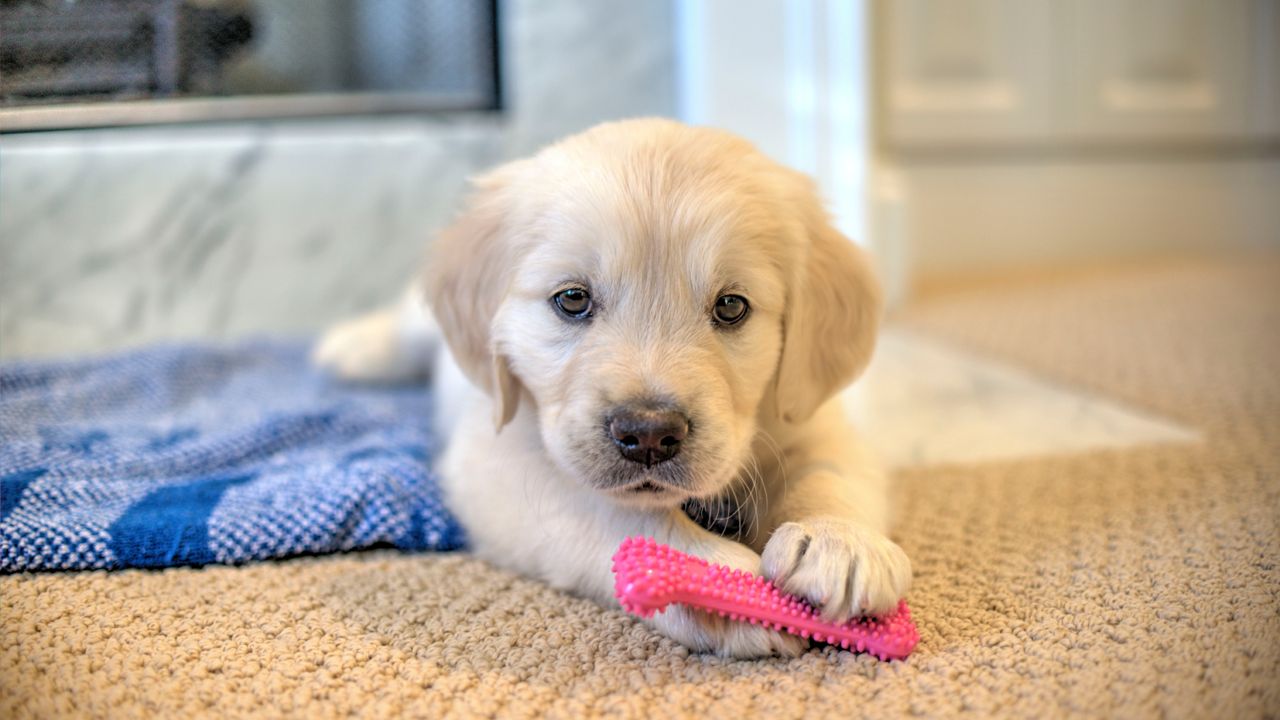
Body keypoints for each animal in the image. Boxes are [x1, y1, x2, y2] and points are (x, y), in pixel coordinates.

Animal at [316, 119, 916, 655]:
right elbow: (619, 515)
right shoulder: (500, 461)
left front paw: (840, 545)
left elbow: (831, 471)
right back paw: (353, 346)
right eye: (572, 299)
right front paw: (718, 583)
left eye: (731, 306)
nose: (648, 434)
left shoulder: (804, 415)